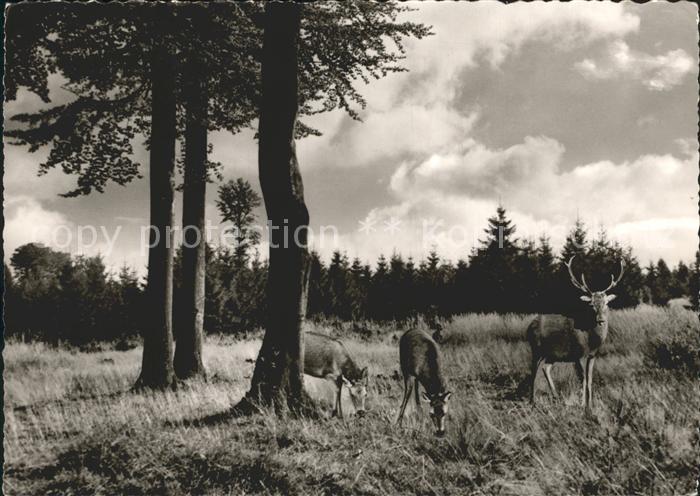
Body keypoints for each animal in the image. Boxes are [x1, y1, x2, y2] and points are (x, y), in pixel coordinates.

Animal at [527, 255, 625, 410]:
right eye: (591, 305)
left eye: (606, 303)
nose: (601, 320)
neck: (592, 341)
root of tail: (529, 327)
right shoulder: (579, 354)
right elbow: (583, 380)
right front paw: (582, 404)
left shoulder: (592, 355)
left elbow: (590, 380)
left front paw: (591, 404)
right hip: (536, 348)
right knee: (533, 372)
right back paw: (533, 402)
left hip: (552, 354)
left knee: (545, 368)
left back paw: (555, 396)